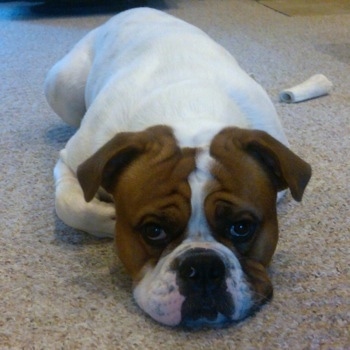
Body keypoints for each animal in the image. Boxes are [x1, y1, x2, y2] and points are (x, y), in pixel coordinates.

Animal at [44, 6, 312, 326]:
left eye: (241, 227)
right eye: (153, 230)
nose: (204, 266)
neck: (191, 117)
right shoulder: (70, 162)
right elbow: (70, 205)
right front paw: (107, 219)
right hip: (60, 87)